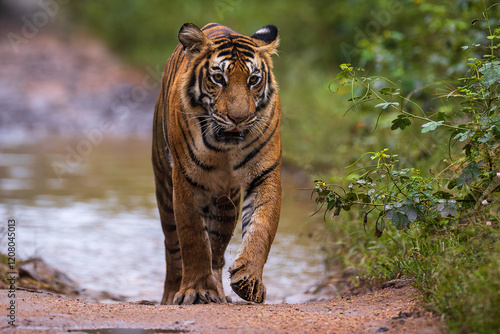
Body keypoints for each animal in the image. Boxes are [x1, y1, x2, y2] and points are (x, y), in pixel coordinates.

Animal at [151, 21, 282, 306]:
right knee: (172, 250)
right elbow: (193, 239)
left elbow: (261, 227)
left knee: (218, 251)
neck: (225, 148)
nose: (238, 118)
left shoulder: (265, 174)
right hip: (164, 187)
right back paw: (171, 295)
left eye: (253, 80)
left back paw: (219, 293)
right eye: (219, 78)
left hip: (226, 202)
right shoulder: (186, 179)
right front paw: (196, 290)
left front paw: (249, 281)